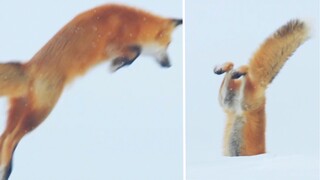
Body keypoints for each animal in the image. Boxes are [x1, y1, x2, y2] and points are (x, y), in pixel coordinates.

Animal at [0, 3, 181, 179]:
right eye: (168, 44)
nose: (169, 65)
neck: (135, 24)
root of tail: (29, 67)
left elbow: (135, 52)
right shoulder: (111, 46)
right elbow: (135, 52)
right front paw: (116, 65)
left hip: (22, 115)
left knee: (4, 138)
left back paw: (5, 169)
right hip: (39, 114)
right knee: (10, 139)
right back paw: (6, 169)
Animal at [214, 19, 308, 156]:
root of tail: (263, 87)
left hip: (229, 100)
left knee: (235, 71)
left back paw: (227, 68)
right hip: (242, 98)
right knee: (245, 71)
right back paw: (232, 69)